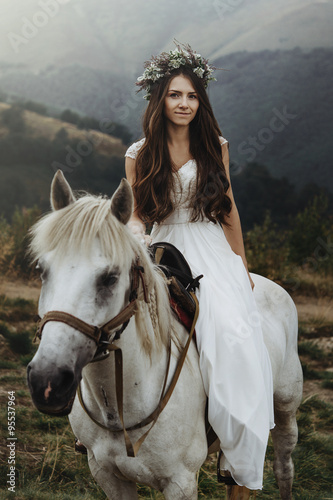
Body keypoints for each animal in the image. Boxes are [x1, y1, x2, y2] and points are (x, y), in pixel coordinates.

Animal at [27, 172, 304, 500]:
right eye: (43, 270)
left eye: (110, 277)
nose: (47, 382)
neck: (121, 407)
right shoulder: (107, 474)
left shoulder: (180, 482)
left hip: (286, 409)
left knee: (283, 465)